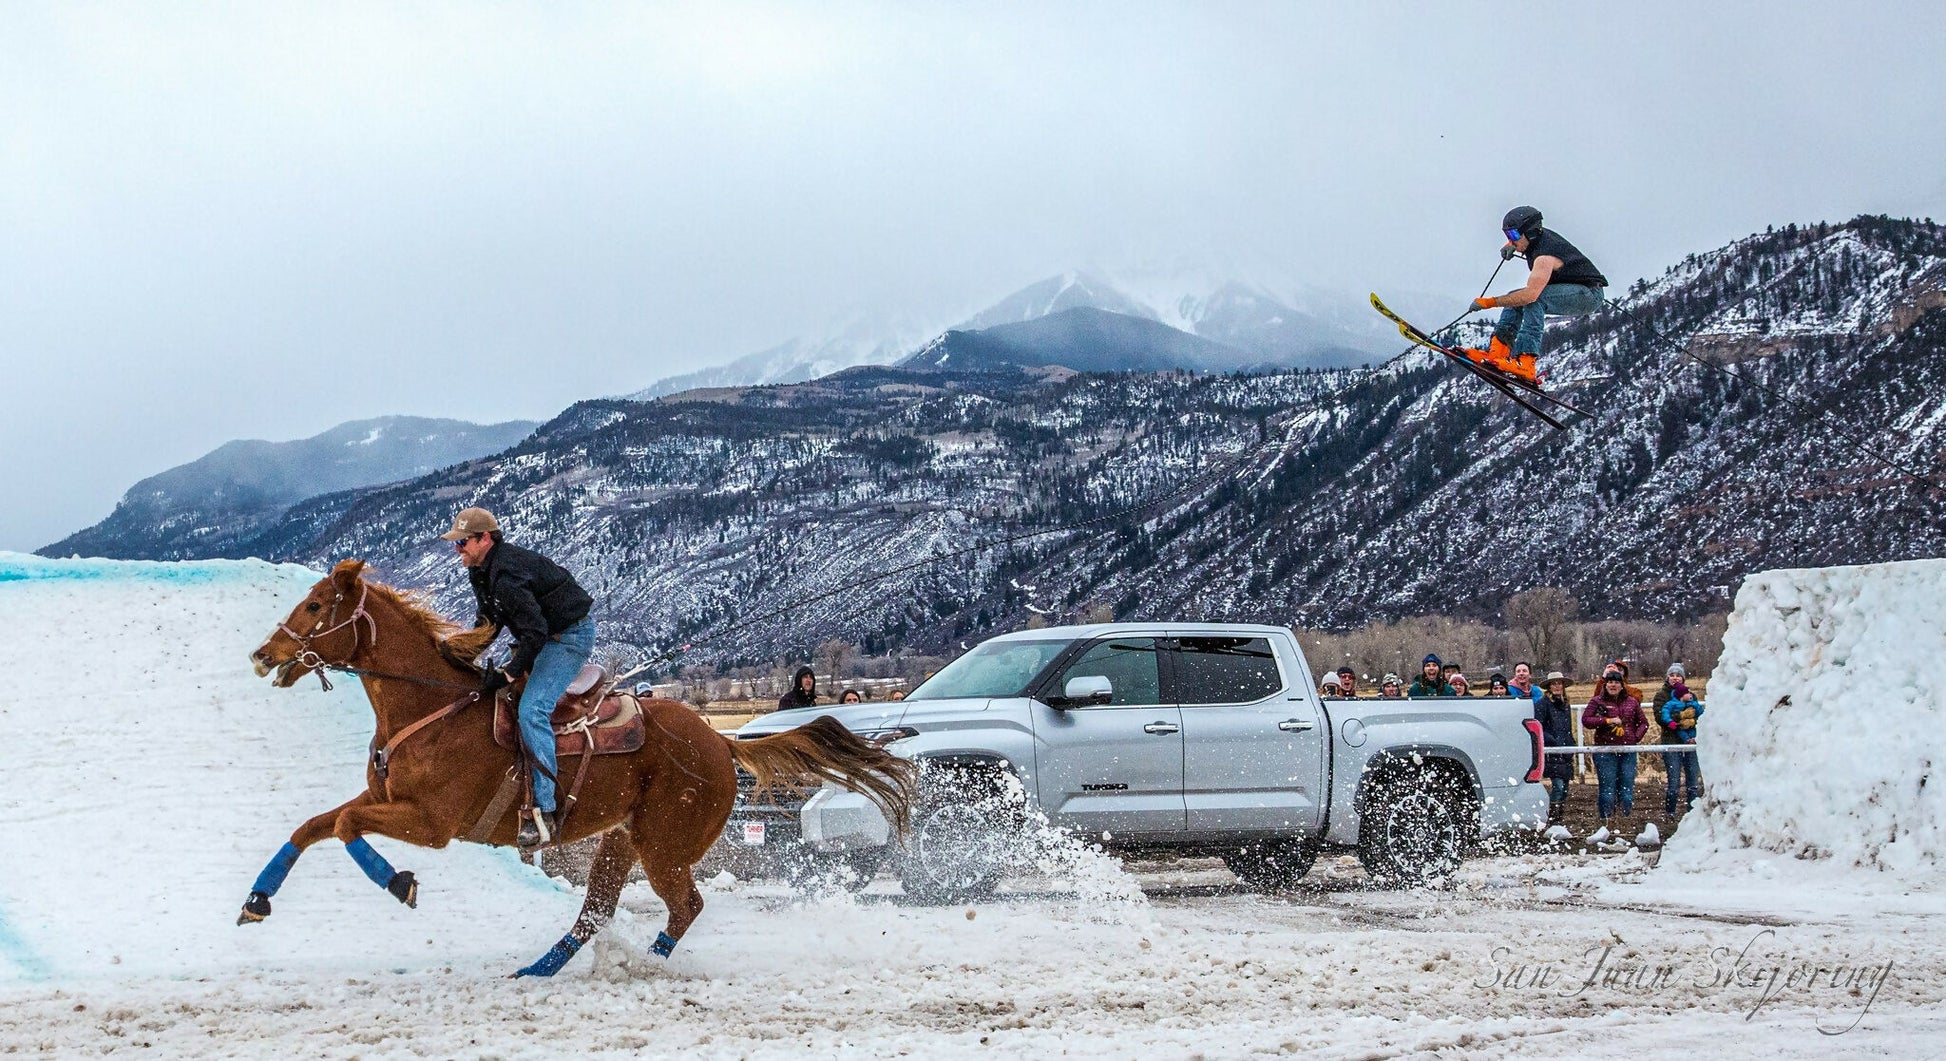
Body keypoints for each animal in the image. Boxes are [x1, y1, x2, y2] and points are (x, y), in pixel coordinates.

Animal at [241, 560, 910, 977]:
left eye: (316, 604)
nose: (262, 655)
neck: (432, 707)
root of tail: (722, 746)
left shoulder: (430, 823)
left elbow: (346, 826)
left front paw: (399, 882)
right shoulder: (383, 802)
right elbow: (313, 826)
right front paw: (256, 901)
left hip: (664, 846)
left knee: (685, 906)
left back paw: (643, 965)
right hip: (621, 840)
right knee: (595, 913)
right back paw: (540, 969)